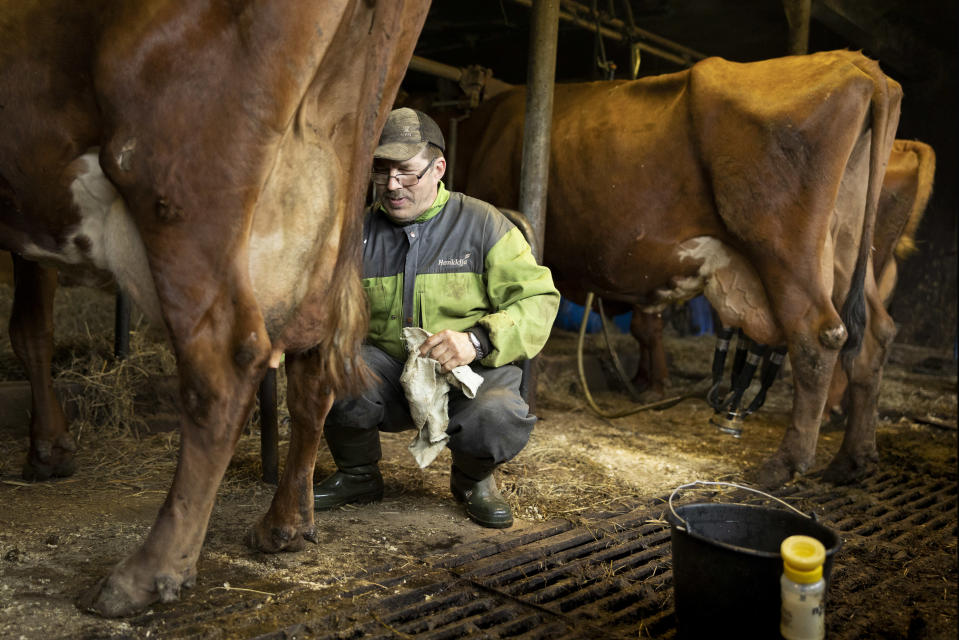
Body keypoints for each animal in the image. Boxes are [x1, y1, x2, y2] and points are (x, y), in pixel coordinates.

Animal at [0, 1, 428, 620]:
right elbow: (33, 327)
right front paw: (49, 448)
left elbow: (28, 328)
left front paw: (48, 451)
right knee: (313, 370)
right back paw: (284, 526)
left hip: (178, 182)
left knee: (223, 369)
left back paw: (146, 574)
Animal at [462, 50, 904, 488]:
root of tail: (857, 64)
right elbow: (647, 326)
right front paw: (651, 385)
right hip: (846, 245)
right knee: (875, 335)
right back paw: (853, 459)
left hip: (787, 249)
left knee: (818, 337)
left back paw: (785, 463)